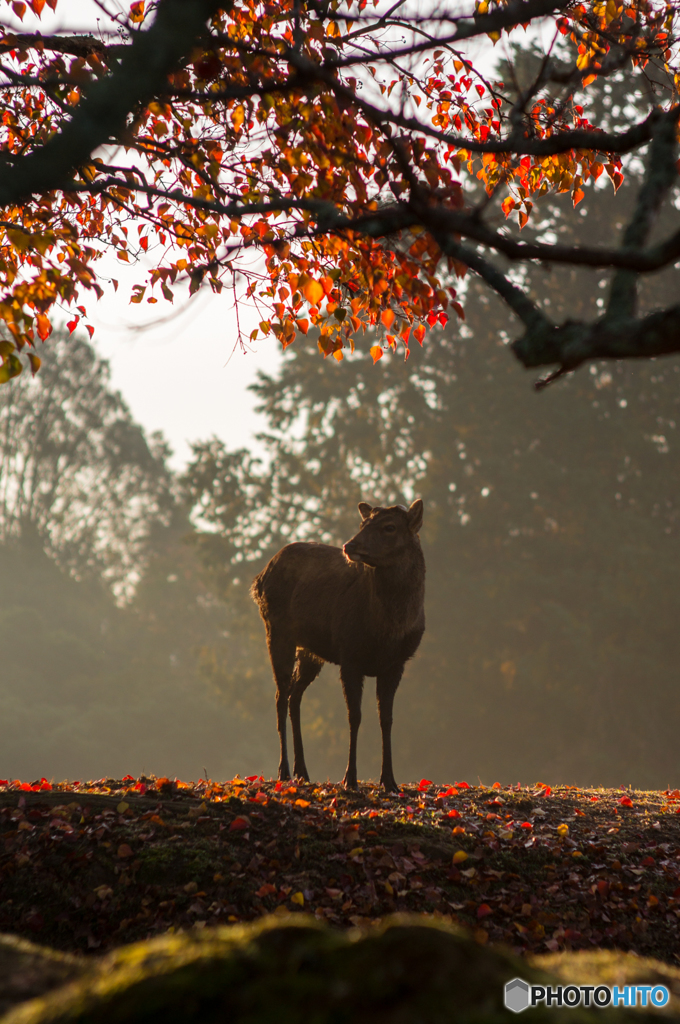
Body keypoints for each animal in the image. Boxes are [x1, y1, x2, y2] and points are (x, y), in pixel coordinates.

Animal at [249, 499, 426, 794]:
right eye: (363, 523)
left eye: (389, 527)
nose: (350, 545)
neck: (388, 628)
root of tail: (258, 579)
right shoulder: (349, 654)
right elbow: (355, 716)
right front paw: (349, 778)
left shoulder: (396, 663)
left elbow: (386, 719)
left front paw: (389, 781)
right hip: (276, 631)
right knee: (280, 696)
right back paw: (284, 771)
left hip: (310, 652)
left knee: (294, 696)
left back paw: (302, 770)